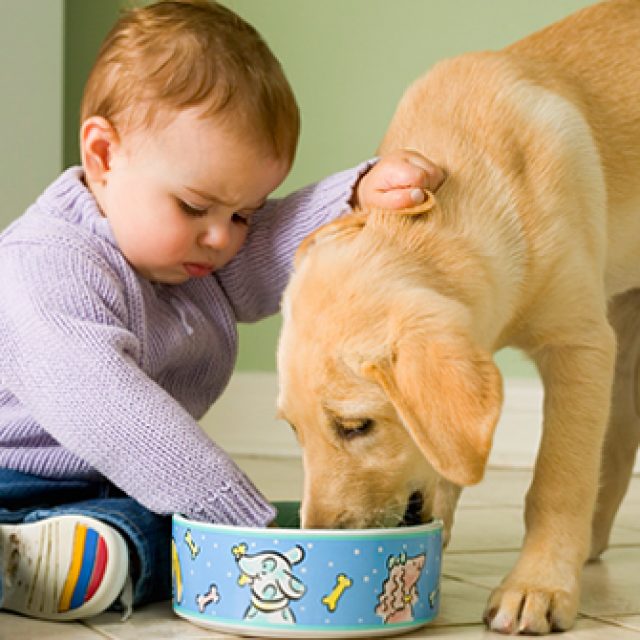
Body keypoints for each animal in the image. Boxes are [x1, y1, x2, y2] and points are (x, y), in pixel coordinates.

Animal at [276, 0, 640, 634]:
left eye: (356, 426)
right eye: (293, 430)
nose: (316, 538)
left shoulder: (580, 345)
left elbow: (557, 478)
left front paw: (537, 585)